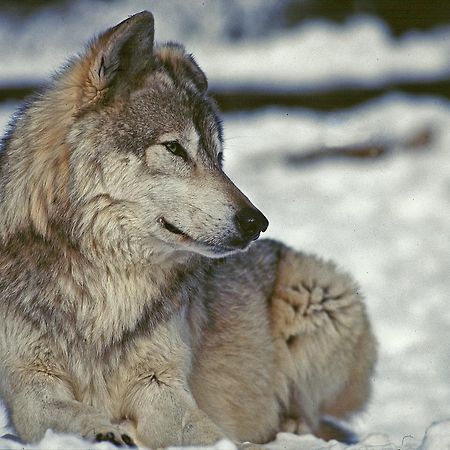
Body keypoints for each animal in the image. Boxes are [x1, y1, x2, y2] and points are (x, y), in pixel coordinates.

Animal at [0, 10, 376, 450]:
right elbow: (64, 412)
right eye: (174, 148)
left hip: (324, 293)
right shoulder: (29, 384)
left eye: (218, 157)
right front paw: (105, 429)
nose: (256, 222)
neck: (108, 284)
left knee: (315, 416)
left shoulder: (160, 382)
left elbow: (203, 432)